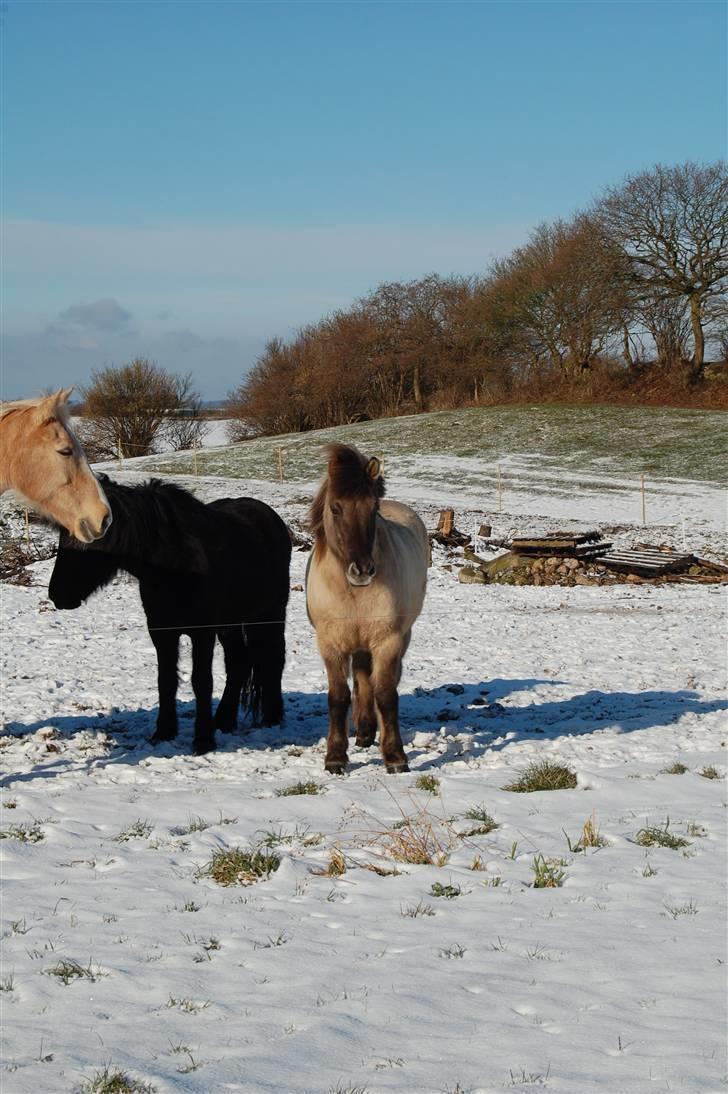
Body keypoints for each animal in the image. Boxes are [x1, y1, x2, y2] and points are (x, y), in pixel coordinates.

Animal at [47, 474, 293, 757]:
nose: (56, 595)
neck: (175, 565)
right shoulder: (162, 632)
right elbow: (165, 680)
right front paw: (164, 732)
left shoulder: (202, 633)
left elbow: (201, 682)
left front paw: (203, 741)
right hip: (230, 624)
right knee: (238, 663)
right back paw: (224, 720)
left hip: (268, 614)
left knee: (274, 658)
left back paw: (272, 718)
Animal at [304, 439, 426, 774]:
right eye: (335, 507)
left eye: (373, 508)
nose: (362, 570)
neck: (352, 592)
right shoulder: (331, 645)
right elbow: (338, 697)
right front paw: (335, 757)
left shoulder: (387, 641)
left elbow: (385, 693)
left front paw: (395, 757)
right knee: (360, 680)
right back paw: (363, 732)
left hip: (399, 637)